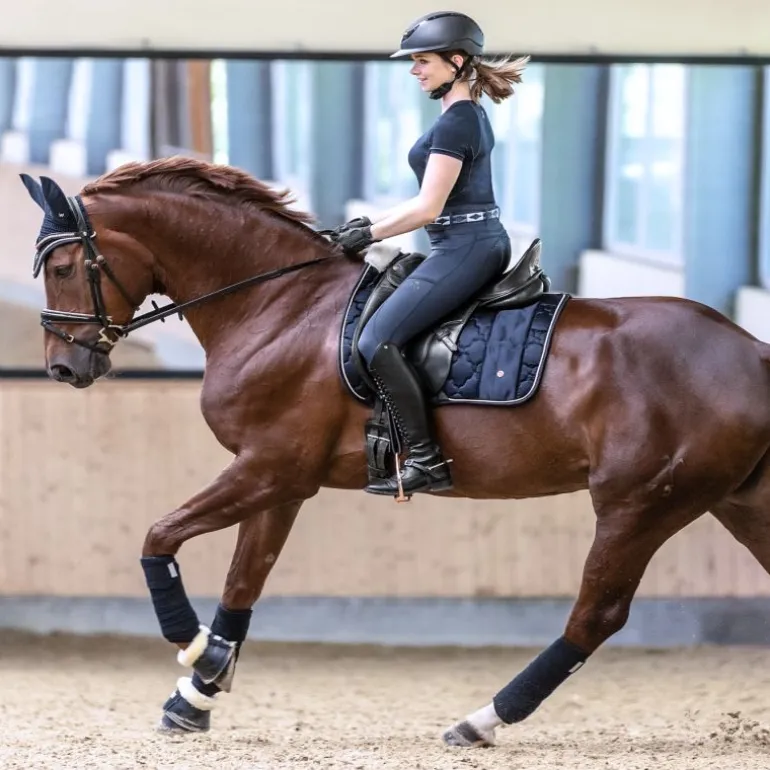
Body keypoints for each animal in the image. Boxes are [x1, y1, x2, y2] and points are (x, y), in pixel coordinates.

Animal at [19, 156, 770, 748]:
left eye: (64, 266)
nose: (63, 367)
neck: (278, 306)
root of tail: (750, 350)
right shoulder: (281, 479)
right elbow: (243, 581)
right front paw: (197, 694)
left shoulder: (266, 466)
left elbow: (158, 538)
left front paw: (194, 651)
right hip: (738, 503)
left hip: (638, 506)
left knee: (595, 617)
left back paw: (481, 720)